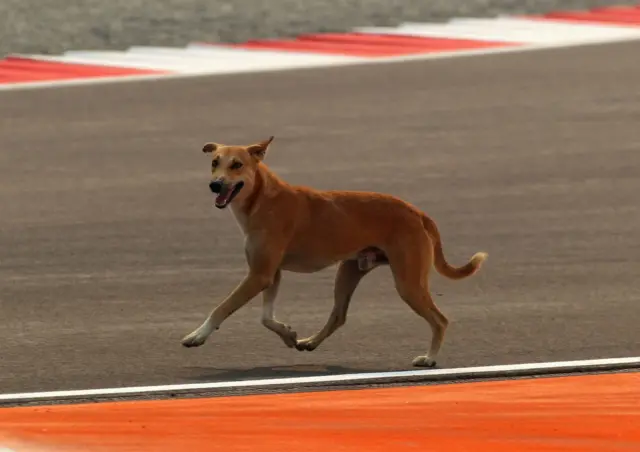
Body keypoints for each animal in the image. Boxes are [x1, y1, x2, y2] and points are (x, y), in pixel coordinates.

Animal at [180, 135, 484, 368]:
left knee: (440, 320)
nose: (215, 185)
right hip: (348, 272)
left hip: (408, 283)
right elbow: (266, 318)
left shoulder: (259, 275)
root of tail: (417, 212)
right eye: (215, 163)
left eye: (237, 165)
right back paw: (310, 342)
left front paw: (197, 335)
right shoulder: (269, 273)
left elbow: (222, 307)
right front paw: (288, 334)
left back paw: (429, 358)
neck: (262, 199)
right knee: (338, 316)